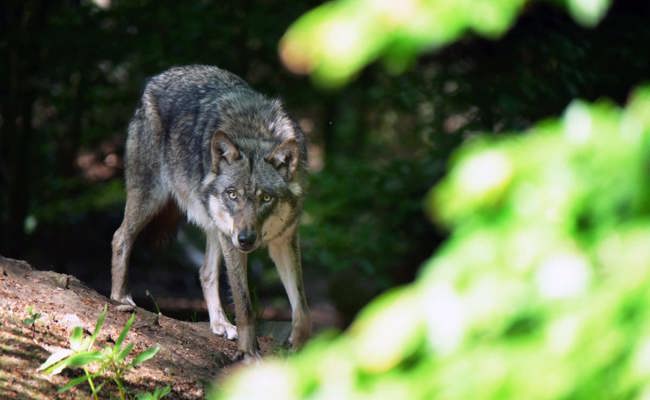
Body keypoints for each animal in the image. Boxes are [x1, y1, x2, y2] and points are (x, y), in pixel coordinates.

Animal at [110, 65, 311, 359]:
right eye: (233, 194)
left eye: (265, 198)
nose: (246, 239)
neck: (255, 133)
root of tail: (158, 77)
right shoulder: (233, 240)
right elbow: (245, 305)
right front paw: (249, 354)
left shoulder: (284, 240)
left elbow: (302, 307)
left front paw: (297, 347)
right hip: (151, 199)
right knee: (120, 237)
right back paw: (119, 297)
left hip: (214, 226)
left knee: (205, 272)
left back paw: (220, 325)